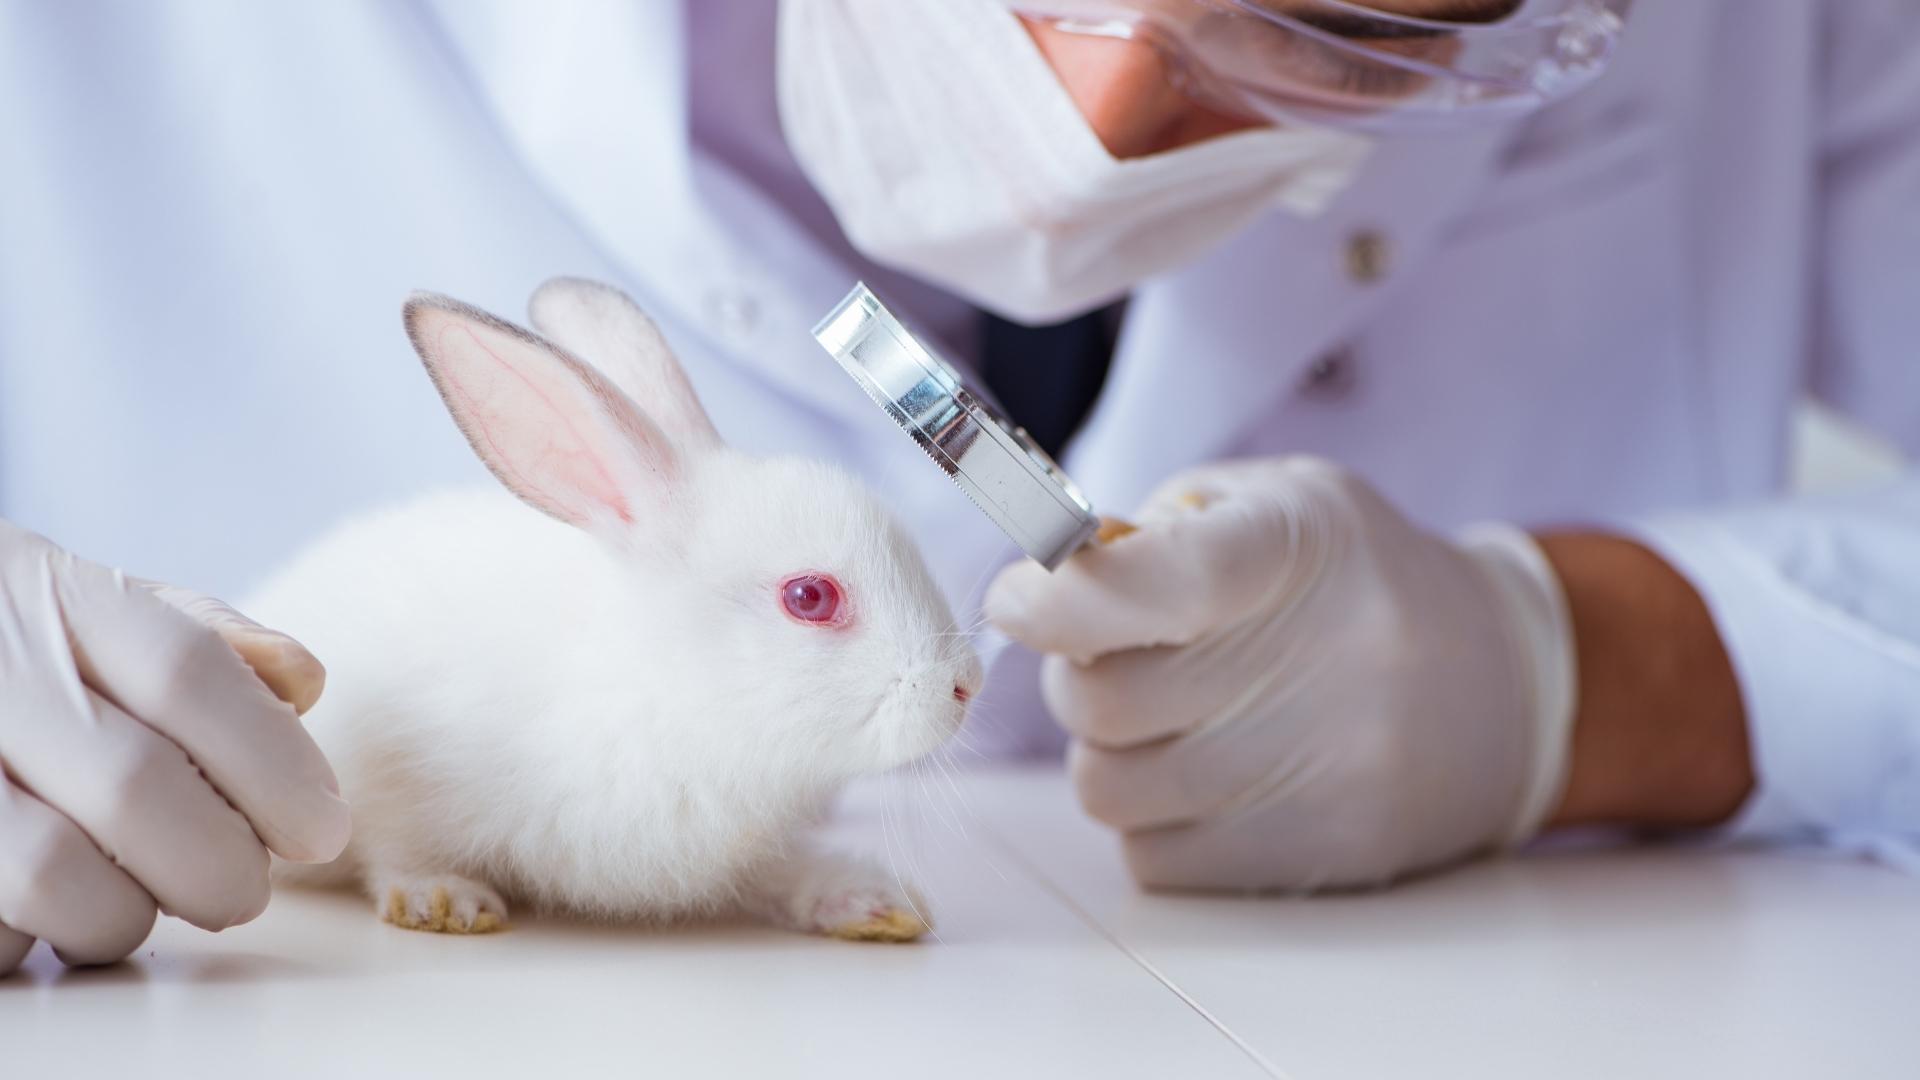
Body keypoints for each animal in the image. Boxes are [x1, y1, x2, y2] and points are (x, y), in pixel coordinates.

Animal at [250, 277, 982, 942]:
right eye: (810, 598)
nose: (965, 684)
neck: (670, 693)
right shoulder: (392, 781)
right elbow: (395, 845)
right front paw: (442, 900)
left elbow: (782, 874)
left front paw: (876, 903)